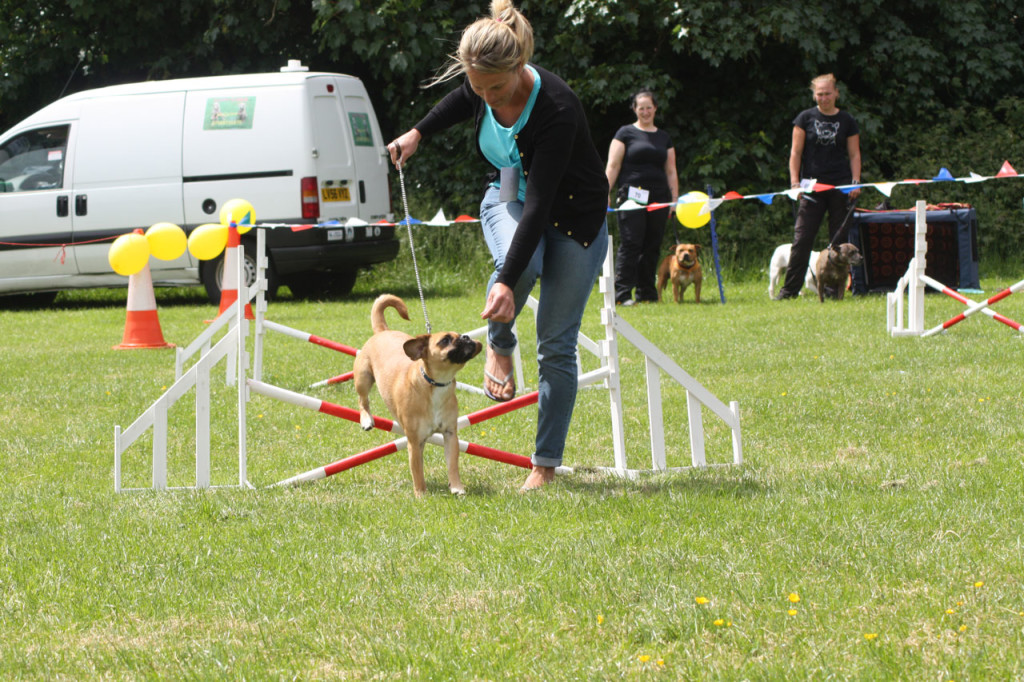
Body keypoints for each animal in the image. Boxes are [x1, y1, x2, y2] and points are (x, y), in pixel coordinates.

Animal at [352, 292, 479, 493]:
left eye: (460, 335)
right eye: (445, 340)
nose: (466, 337)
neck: (436, 384)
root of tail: (382, 331)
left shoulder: (450, 435)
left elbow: (452, 464)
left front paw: (457, 487)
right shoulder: (414, 442)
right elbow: (417, 471)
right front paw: (421, 494)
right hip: (363, 379)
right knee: (362, 400)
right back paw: (366, 420)